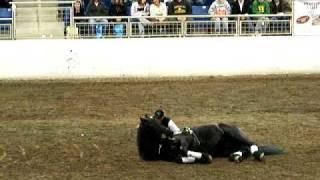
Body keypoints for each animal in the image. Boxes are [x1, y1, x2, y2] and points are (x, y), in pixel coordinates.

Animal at [137, 116, 282, 165]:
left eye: (156, 122)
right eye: (151, 124)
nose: (169, 132)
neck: (161, 146)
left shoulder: (185, 140)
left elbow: (184, 149)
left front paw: (204, 156)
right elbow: (179, 158)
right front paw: (201, 157)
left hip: (234, 134)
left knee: (253, 145)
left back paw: (258, 154)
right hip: (229, 148)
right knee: (245, 150)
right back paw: (236, 156)